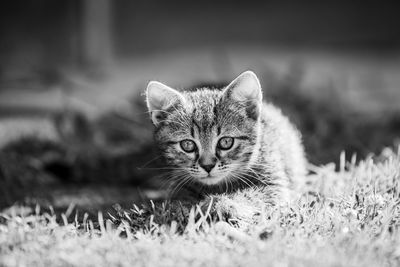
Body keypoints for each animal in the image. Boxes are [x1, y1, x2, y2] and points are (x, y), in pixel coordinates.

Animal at [145, 70, 304, 214]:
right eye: (188, 145)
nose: (208, 166)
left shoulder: (274, 184)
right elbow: (178, 200)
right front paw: (182, 208)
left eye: (226, 142)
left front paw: (220, 203)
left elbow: (253, 195)